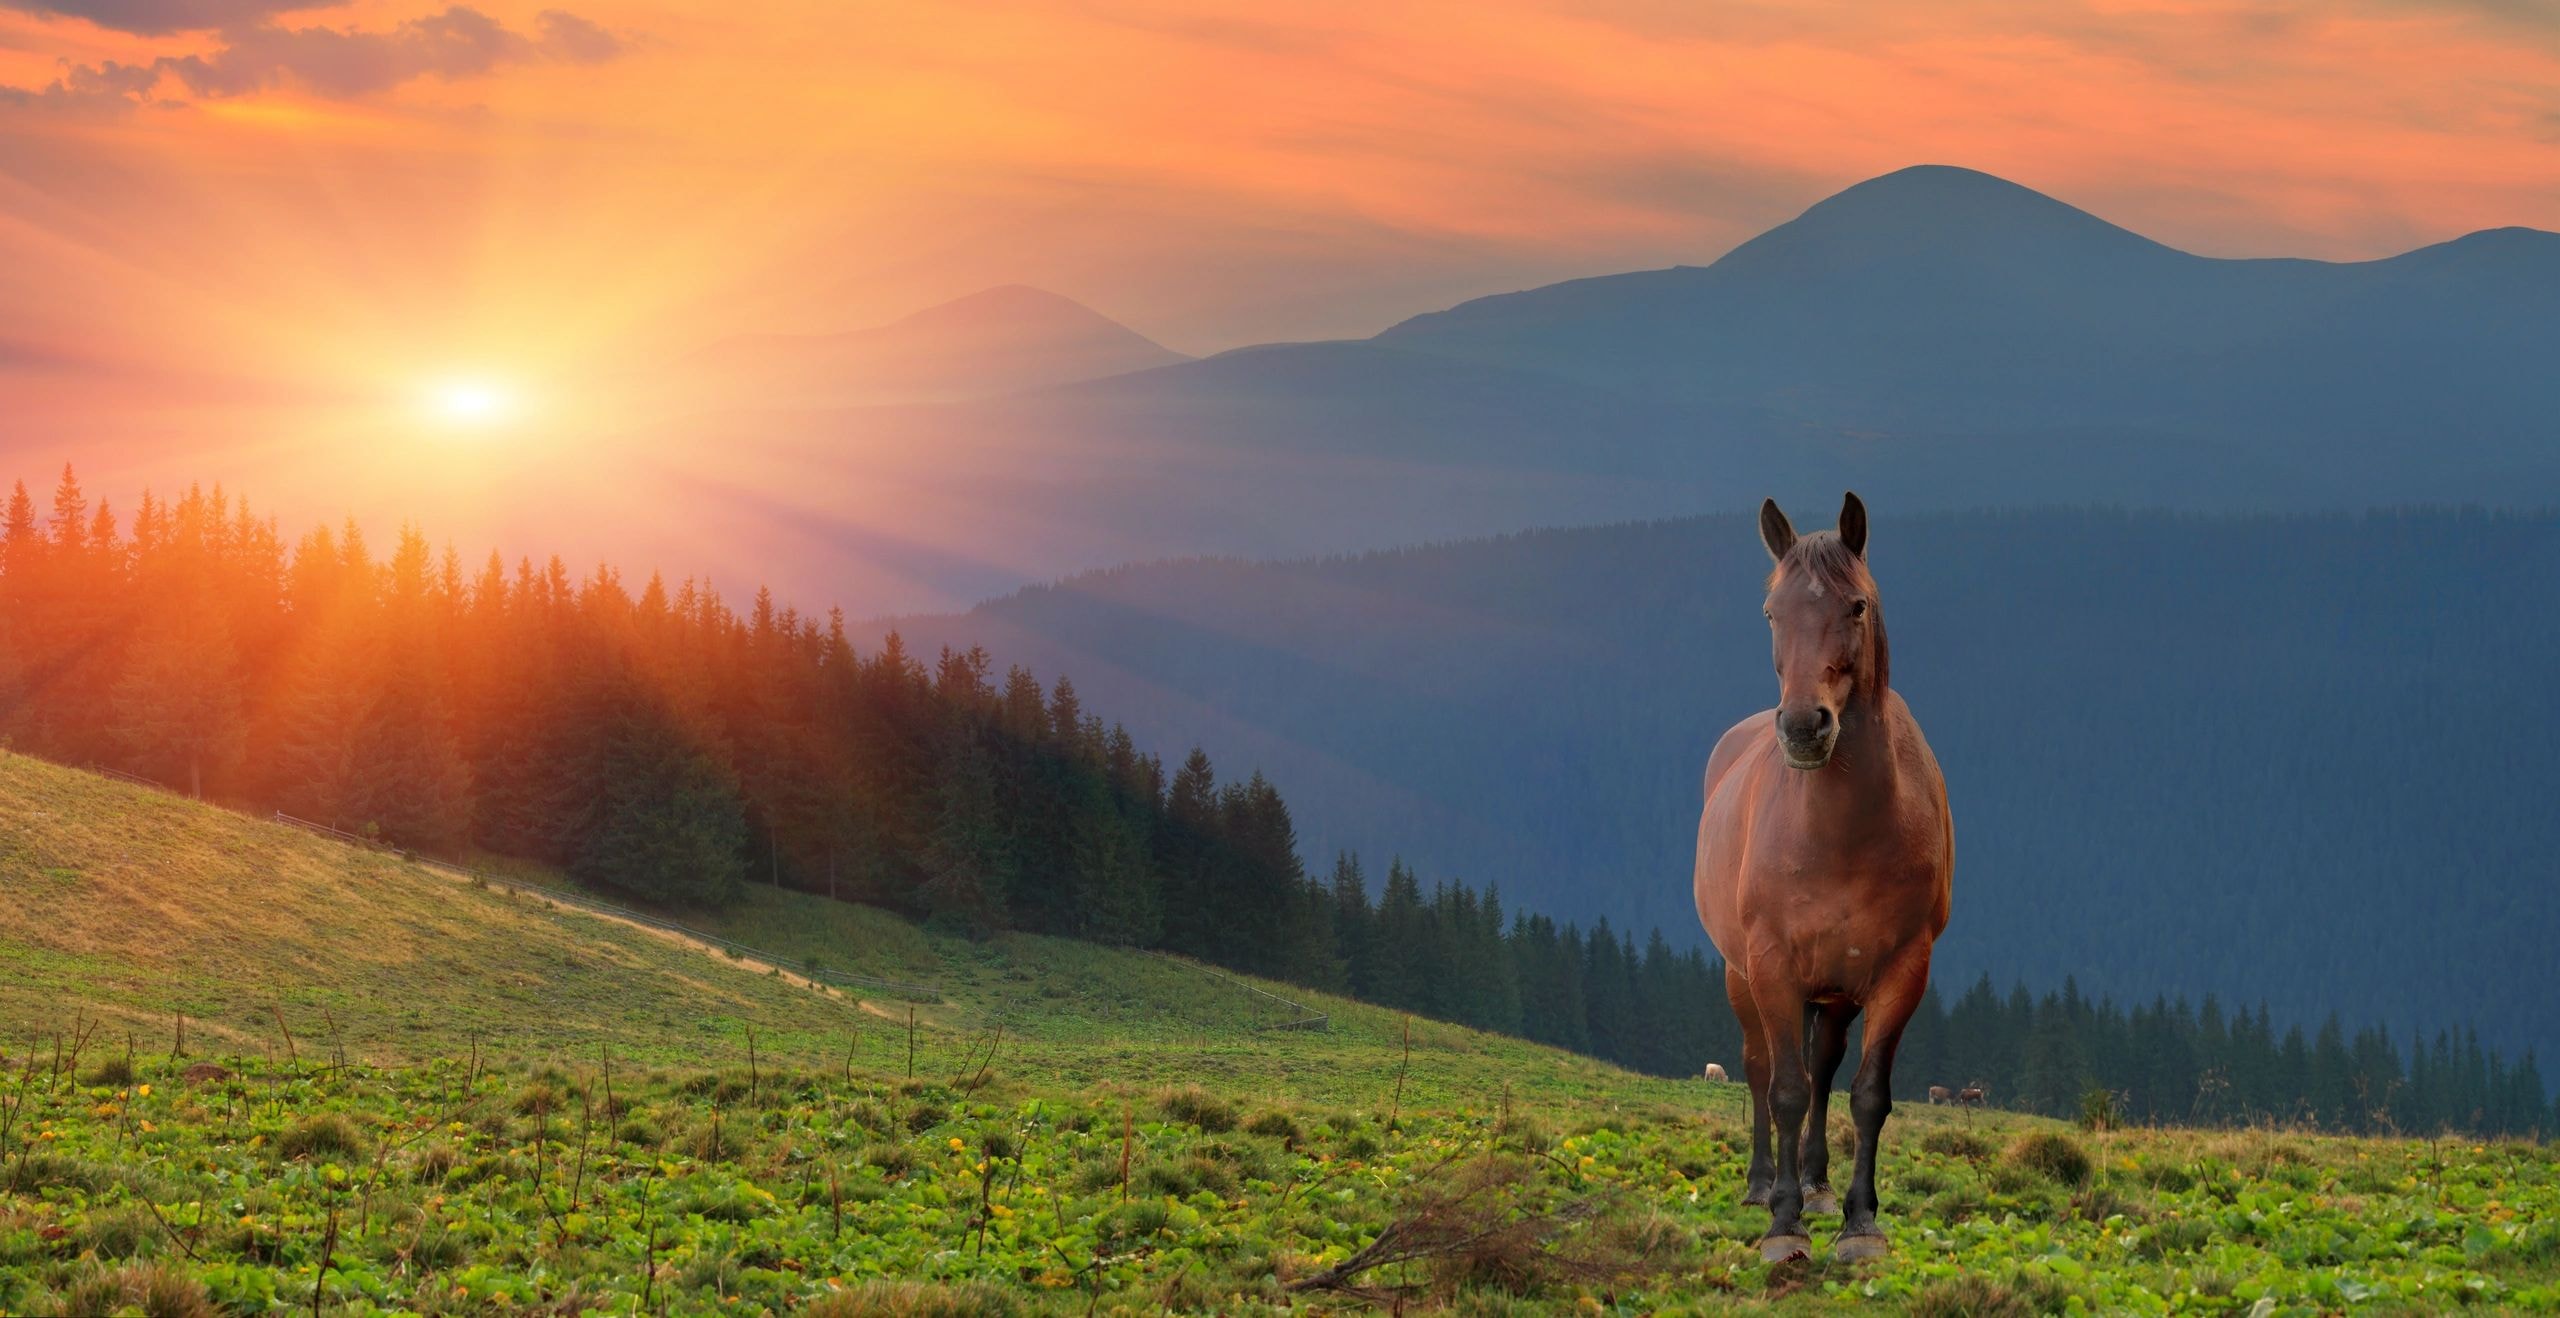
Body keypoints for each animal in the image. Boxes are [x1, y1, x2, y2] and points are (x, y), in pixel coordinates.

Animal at [1693, 492, 1955, 1263]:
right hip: (1742, 975)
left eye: (1857, 605)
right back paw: (1763, 1186)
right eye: (1771, 610)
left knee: (1825, 1071)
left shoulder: (1902, 969)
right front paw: (1784, 1225)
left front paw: (1859, 1221)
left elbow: (1865, 1094)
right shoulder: (1772, 963)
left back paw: (1813, 1183)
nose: (1805, 727)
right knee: (1760, 1068)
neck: (1840, 832)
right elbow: (1782, 1087)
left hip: (1837, 992)